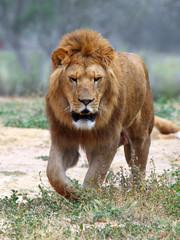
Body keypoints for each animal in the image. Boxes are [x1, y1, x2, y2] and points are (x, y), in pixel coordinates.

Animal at [45, 29, 154, 199]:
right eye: (73, 79)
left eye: (97, 78)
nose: (86, 101)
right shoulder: (63, 138)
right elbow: (53, 172)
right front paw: (73, 192)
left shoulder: (108, 140)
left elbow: (95, 174)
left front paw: (88, 197)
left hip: (141, 134)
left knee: (138, 168)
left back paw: (137, 193)